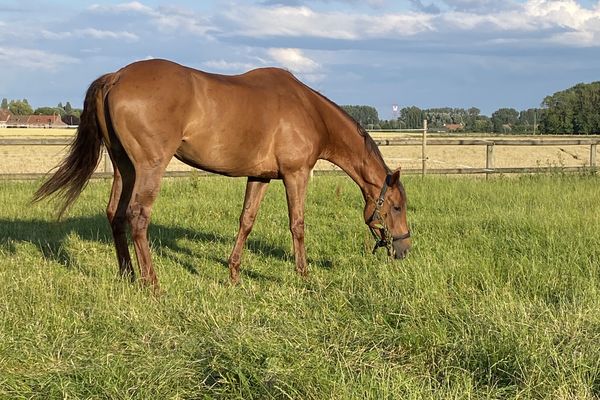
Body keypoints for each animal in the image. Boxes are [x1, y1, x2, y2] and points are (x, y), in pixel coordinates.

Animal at [32, 59, 410, 290]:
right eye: (396, 207)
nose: (404, 249)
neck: (309, 111)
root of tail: (116, 76)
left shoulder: (260, 177)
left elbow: (246, 221)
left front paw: (234, 274)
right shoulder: (295, 174)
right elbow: (298, 225)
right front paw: (303, 276)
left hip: (124, 167)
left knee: (115, 214)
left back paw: (127, 275)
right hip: (149, 167)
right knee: (137, 216)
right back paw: (152, 284)